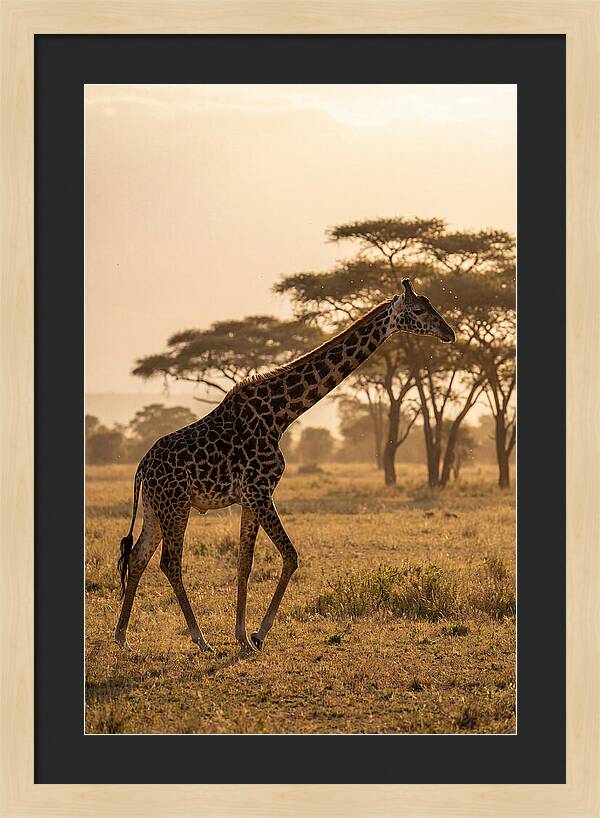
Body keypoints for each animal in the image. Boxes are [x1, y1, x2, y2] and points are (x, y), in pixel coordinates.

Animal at [115, 278, 455, 653]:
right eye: (419, 310)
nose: (449, 333)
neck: (281, 415)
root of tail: (141, 467)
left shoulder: (250, 498)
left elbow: (245, 562)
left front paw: (242, 636)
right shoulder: (260, 491)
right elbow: (290, 556)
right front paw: (258, 634)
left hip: (155, 508)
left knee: (138, 556)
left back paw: (122, 637)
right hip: (176, 505)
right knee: (169, 562)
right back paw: (200, 639)